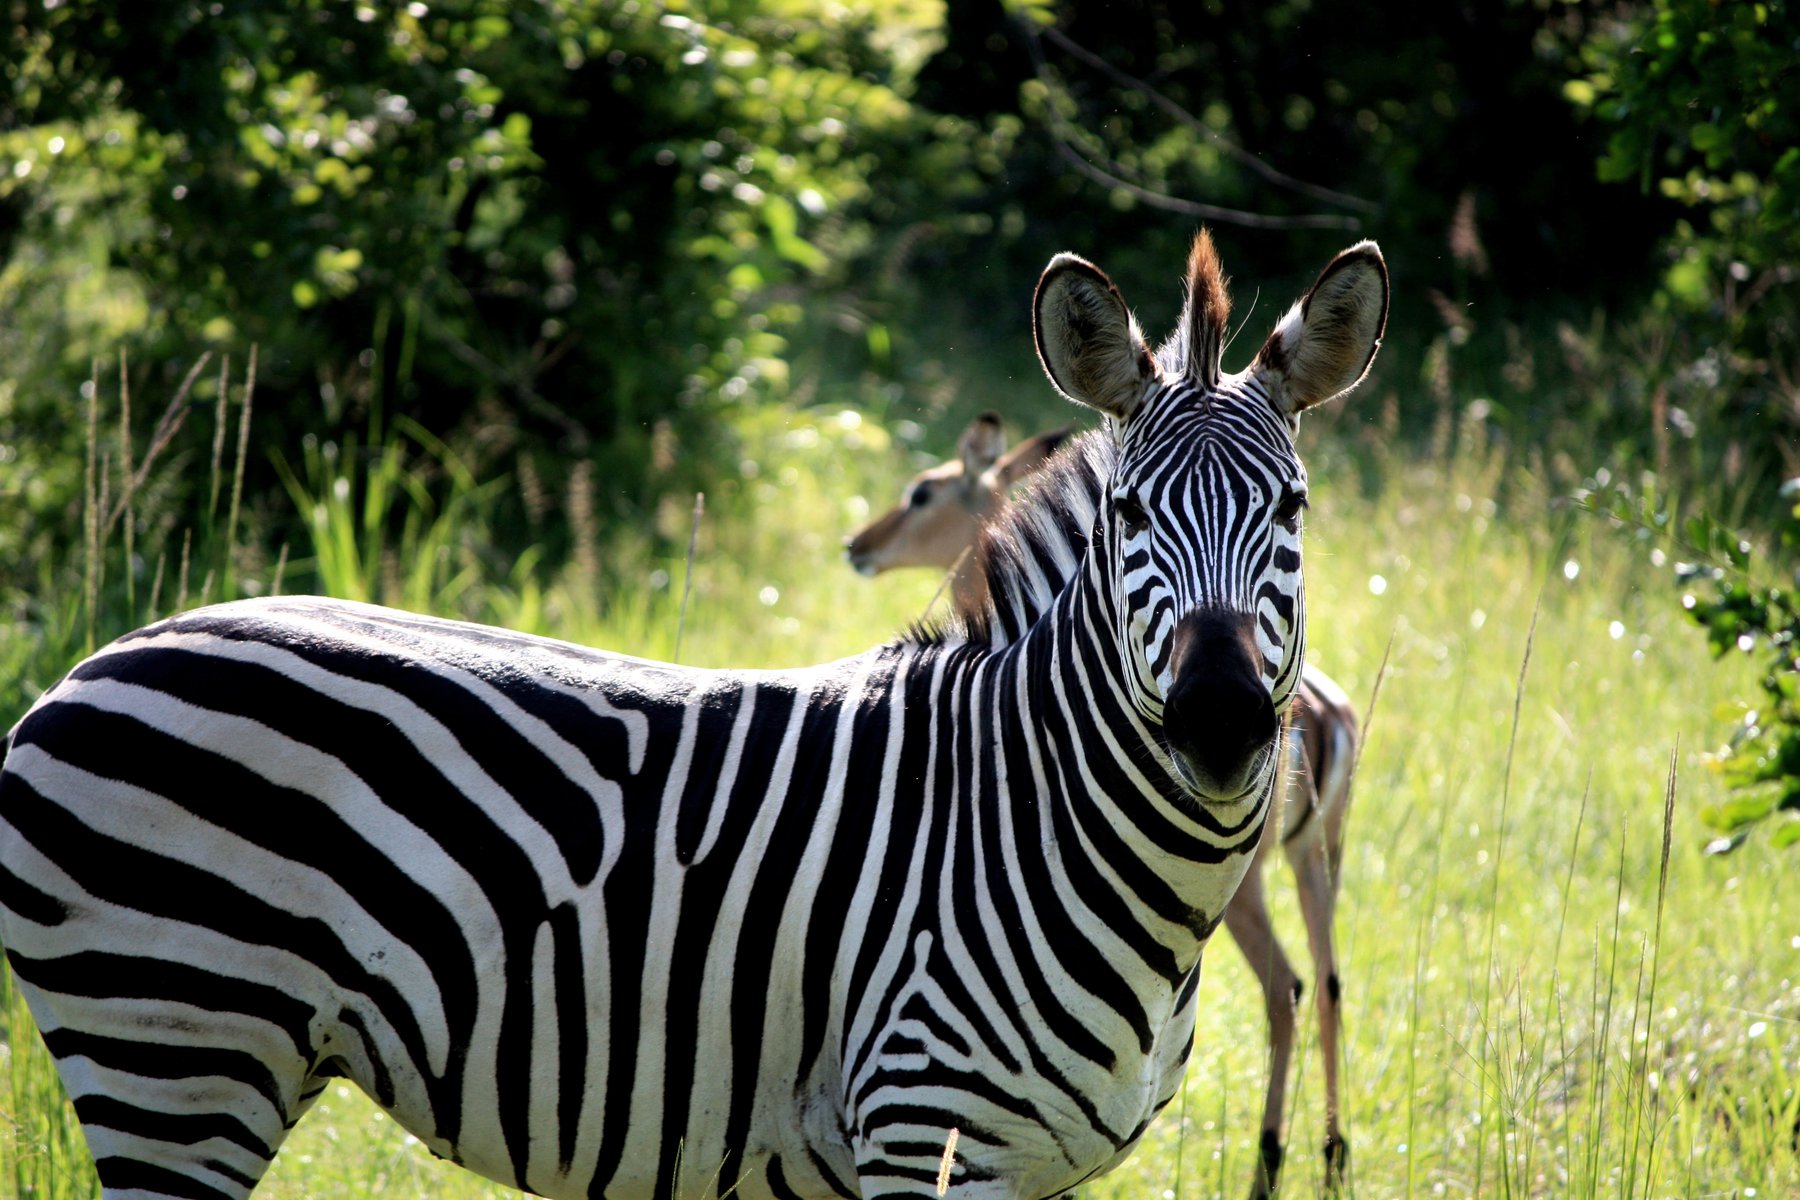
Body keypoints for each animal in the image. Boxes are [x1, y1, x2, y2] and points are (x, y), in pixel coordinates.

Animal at [846, 422, 1360, 1200]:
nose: (859, 545)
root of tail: (1321, 715)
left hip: (1248, 888)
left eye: (921, 493)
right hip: (1316, 860)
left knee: (1287, 987)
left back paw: (1268, 1163)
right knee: (1328, 985)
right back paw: (1331, 1156)